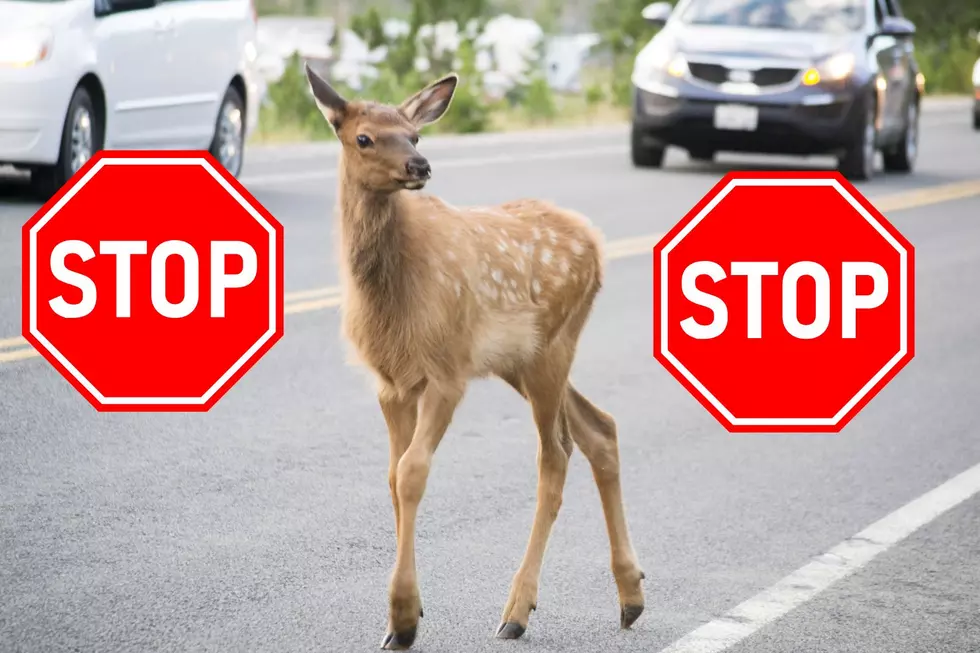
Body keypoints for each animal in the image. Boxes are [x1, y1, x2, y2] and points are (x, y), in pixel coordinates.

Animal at [303, 64, 646, 650]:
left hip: (552, 348)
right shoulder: (391, 383)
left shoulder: (447, 370)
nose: (419, 166)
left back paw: (517, 610)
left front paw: (402, 617)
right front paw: (407, 613)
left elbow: (413, 471)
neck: (392, 296)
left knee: (555, 455)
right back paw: (631, 598)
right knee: (599, 428)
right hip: (523, 362)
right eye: (363, 138)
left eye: (414, 135)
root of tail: (597, 243)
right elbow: (392, 477)